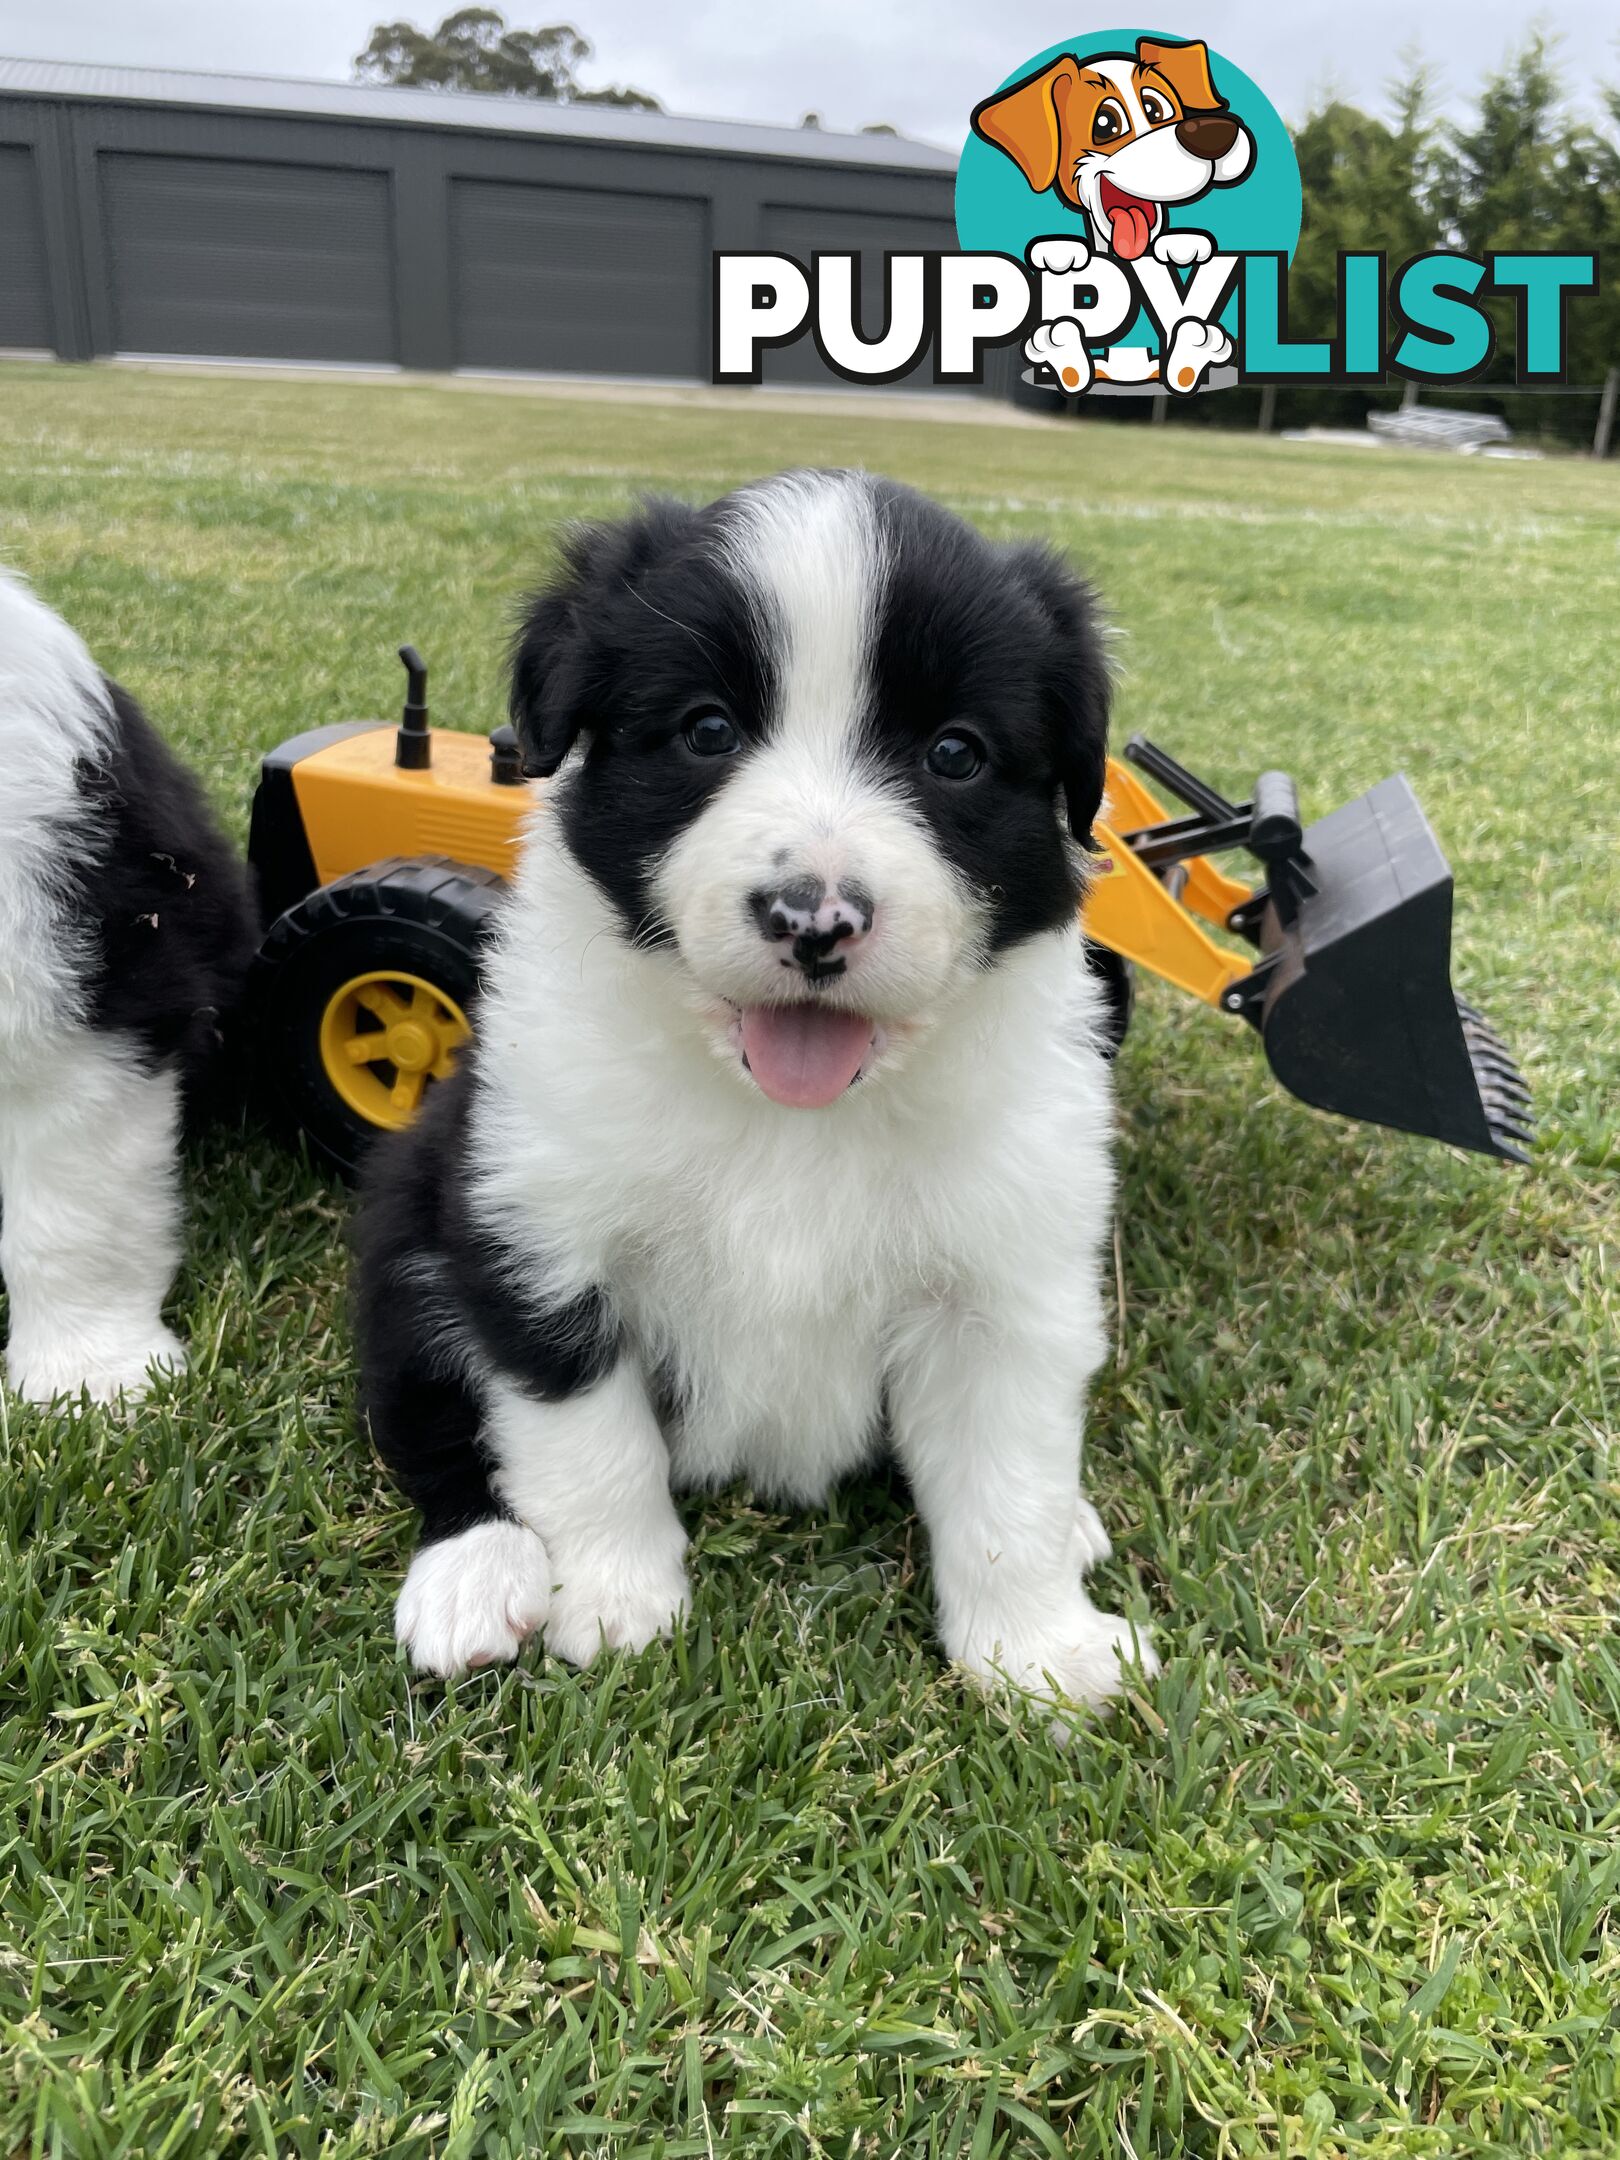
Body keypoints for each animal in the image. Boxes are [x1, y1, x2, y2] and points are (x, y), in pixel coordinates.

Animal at [360, 477, 1157, 1719]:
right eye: (706, 732)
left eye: (957, 753)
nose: (813, 918)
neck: (794, 1118)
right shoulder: (535, 1230)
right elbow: (587, 1438)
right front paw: (616, 1600)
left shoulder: (1005, 1282)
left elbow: (1007, 1483)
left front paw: (1038, 1655)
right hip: (410, 1215)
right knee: (428, 1418)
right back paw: (473, 1578)